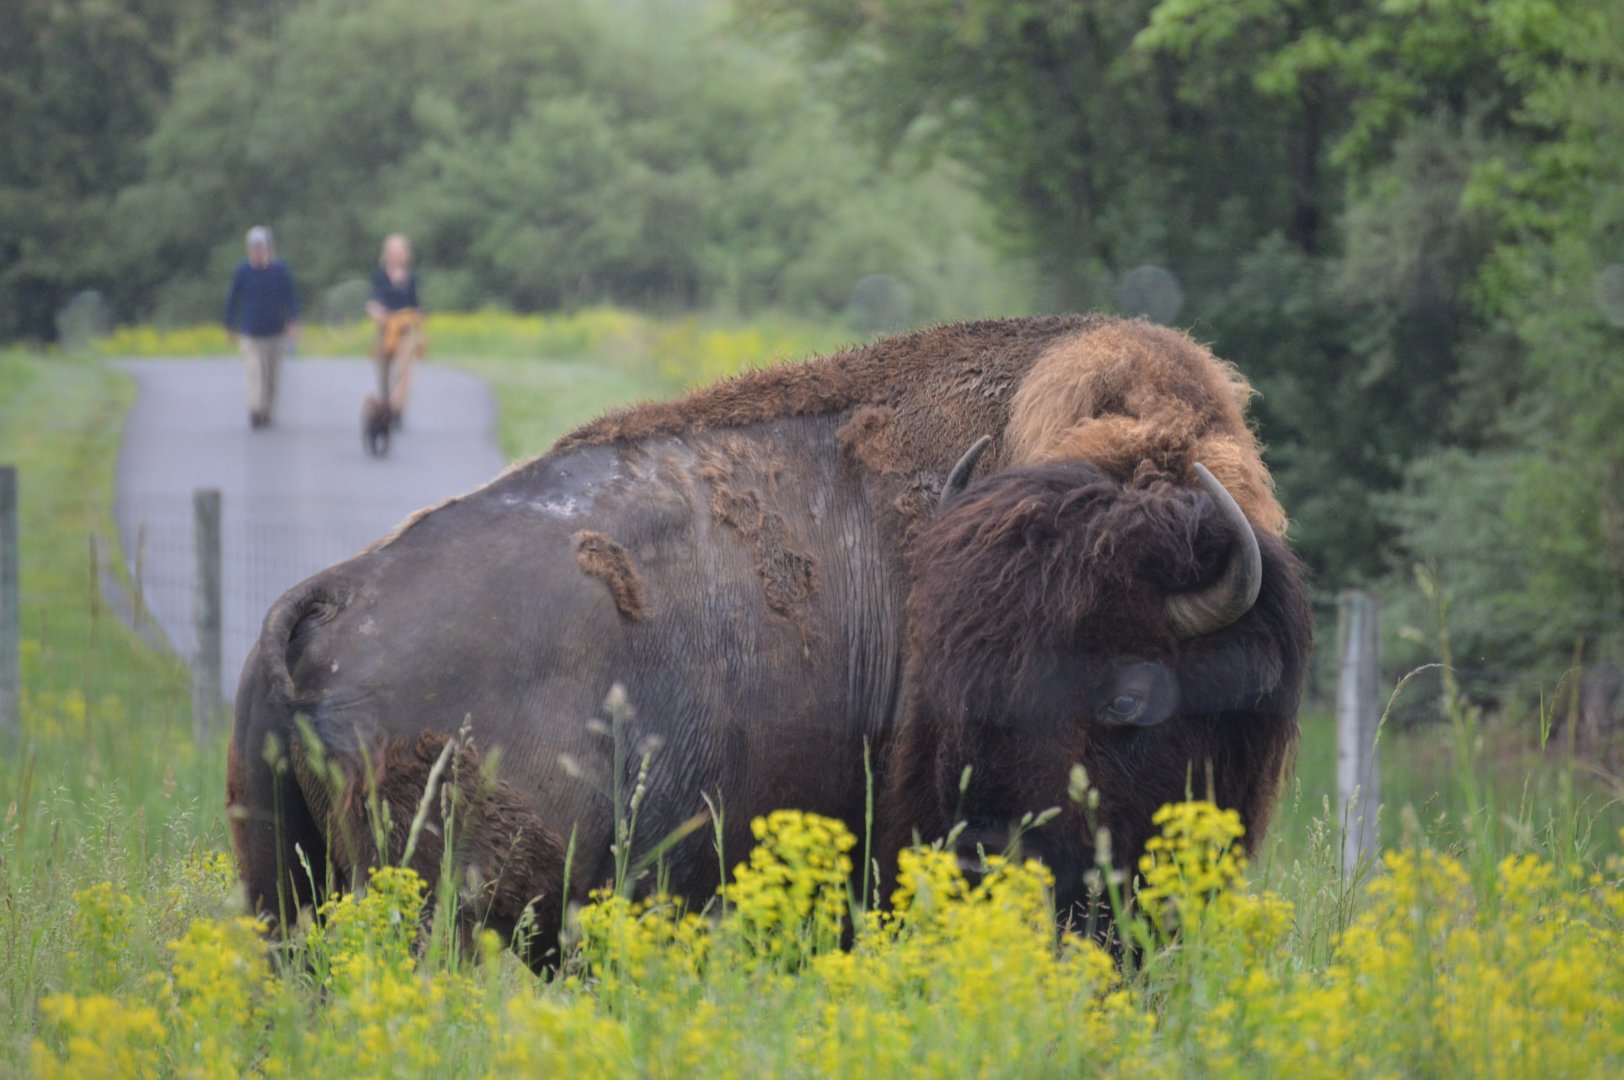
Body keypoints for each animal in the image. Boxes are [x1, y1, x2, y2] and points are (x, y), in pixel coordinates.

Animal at [228, 314, 1310, 963]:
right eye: (953, 691)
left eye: (1127, 697)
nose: (979, 858)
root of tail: (328, 595)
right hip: (439, 911)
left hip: (284, 896)